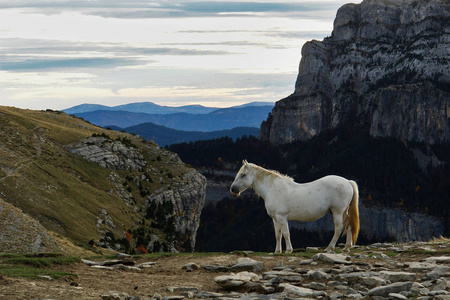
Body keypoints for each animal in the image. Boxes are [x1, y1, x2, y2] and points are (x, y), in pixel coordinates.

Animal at [230, 161, 360, 252]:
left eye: (243, 175)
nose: (233, 189)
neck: (272, 188)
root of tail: (348, 182)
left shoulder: (282, 217)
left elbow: (286, 233)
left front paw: (288, 250)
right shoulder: (275, 218)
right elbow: (278, 235)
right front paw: (277, 251)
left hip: (337, 212)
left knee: (338, 228)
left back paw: (329, 248)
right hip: (343, 212)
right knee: (348, 226)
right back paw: (346, 248)